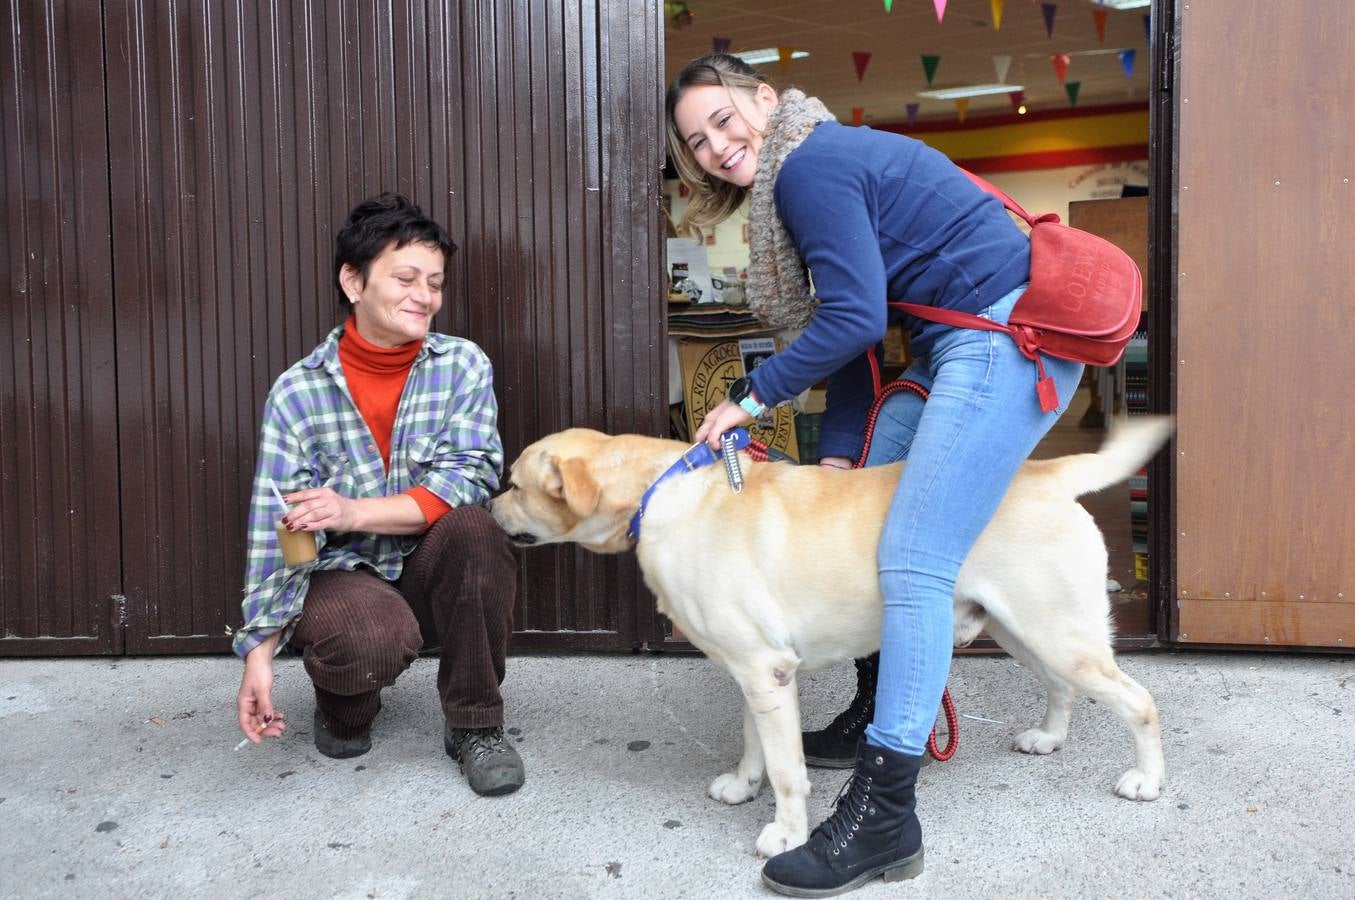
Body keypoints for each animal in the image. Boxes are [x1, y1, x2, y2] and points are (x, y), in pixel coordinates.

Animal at [493, 417, 1170, 856]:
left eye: (516, 485)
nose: (489, 507)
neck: (658, 495)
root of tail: (1041, 473)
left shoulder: (764, 669)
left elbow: (787, 768)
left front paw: (786, 834)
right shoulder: (755, 671)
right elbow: (754, 744)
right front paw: (743, 786)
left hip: (1057, 632)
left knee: (1139, 702)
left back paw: (1145, 781)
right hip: (1022, 631)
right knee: (1063, 689)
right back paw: (1049, 739)